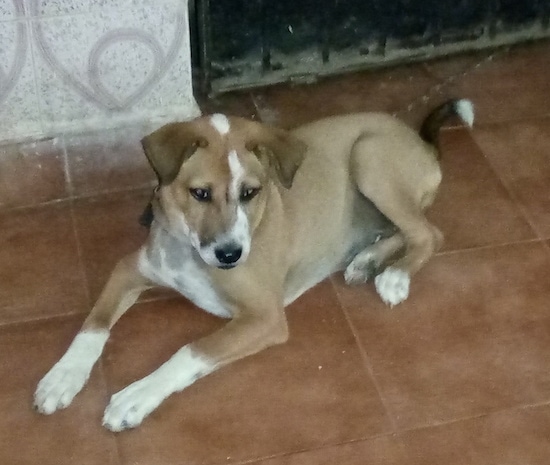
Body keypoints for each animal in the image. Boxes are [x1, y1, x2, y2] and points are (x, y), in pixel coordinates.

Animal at [33, 98, 474, 432]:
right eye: (200, 193)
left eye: (250, 192)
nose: (230, 255)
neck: (189, 250)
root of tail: (421, 143)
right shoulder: (129, 268)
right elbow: (92, 325)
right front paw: (62, 376)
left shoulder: (264, 317)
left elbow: (191, 350)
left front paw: (137, 395)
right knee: (405, 230)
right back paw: (367, 259)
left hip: (369, 158)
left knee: (429, 233)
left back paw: (395, 275)